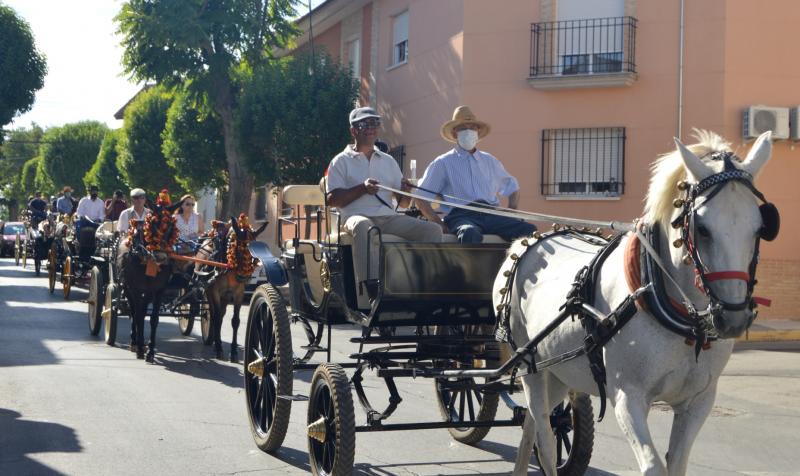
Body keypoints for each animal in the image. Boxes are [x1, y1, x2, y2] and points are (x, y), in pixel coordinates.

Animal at [195, 216, 268, 360]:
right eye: (239, 249)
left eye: (255, 250)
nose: (243, 276)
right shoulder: (215, 292)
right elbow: (217, 318)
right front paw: (219, 349)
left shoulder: (239, 293)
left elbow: (235, 321)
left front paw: (233, 351)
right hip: (210, 291)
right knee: (214, 315)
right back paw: (214, 342)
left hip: (226, 296)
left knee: (222, 314)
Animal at [496, 131, 780, 476]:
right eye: (702, 229)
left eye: (762, 227)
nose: (733, 318)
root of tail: (529, 243)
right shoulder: (627, 398)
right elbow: (654, 466)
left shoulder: (698, 401)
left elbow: (677, 463)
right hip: (531, 367)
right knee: (546, 441)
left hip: (561, 373)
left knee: (532, 426)